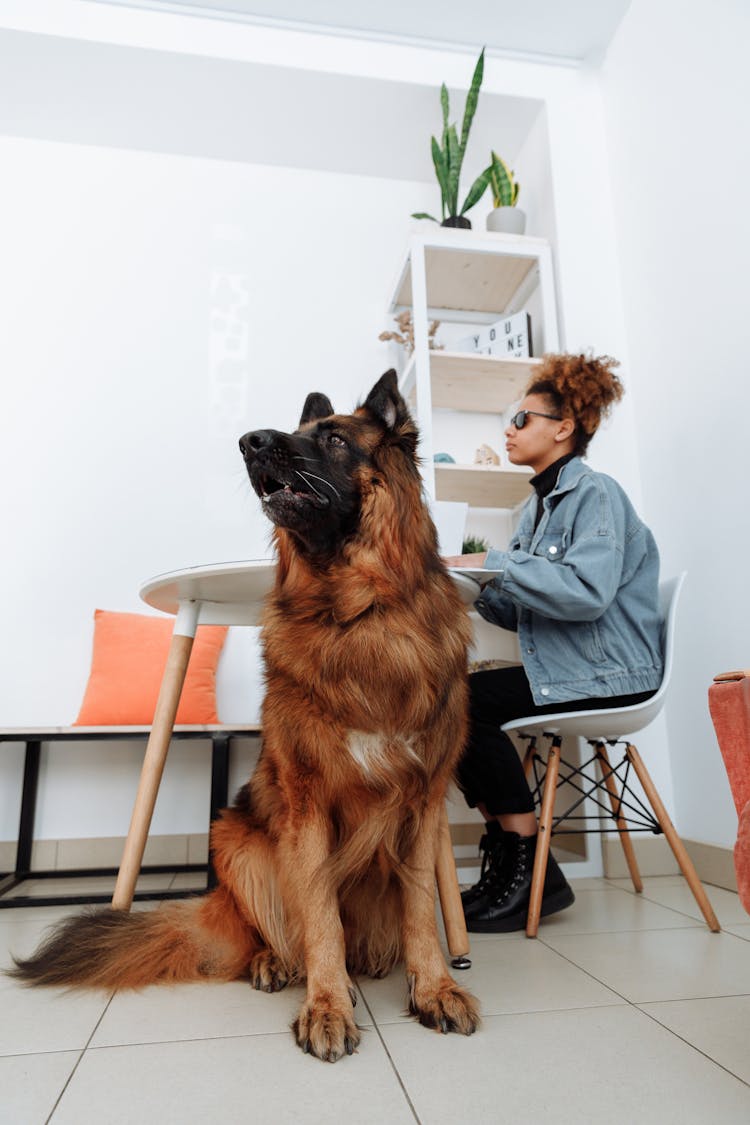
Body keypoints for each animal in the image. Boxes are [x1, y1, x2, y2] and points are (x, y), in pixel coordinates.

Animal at [10, 371, 481, 1062]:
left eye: (335, 439)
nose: (249, 441)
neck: (357, 615)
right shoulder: (306, 804)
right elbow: (318, 916)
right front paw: (326, 1004)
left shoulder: (422, 805)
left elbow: (422, 909)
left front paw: (434, 988)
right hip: (238, 840)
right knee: (279, 929)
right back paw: (282, 964)